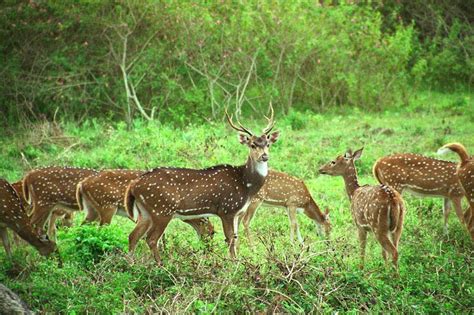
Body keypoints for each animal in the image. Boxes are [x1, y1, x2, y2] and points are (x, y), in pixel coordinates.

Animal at [76, 170, 215, 239]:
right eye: (212, 233)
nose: (207, 249)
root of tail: (81, 184)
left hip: (92, 209)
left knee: (82, 226)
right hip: (107, 206)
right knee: (101, 229)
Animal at [124, 107, 280, 266]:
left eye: (267, 144)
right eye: (253, 144)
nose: (264, 156)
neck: (246, 185)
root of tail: (133, 185)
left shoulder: (238, 212)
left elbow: (235, 239)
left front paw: (237, 262)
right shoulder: (226, 209)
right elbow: (230, 239)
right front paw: (233, 264)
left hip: (145, 211)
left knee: (133, 236)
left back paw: (132, 264)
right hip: (161, 209)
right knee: (151, 238)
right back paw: (161, 265)